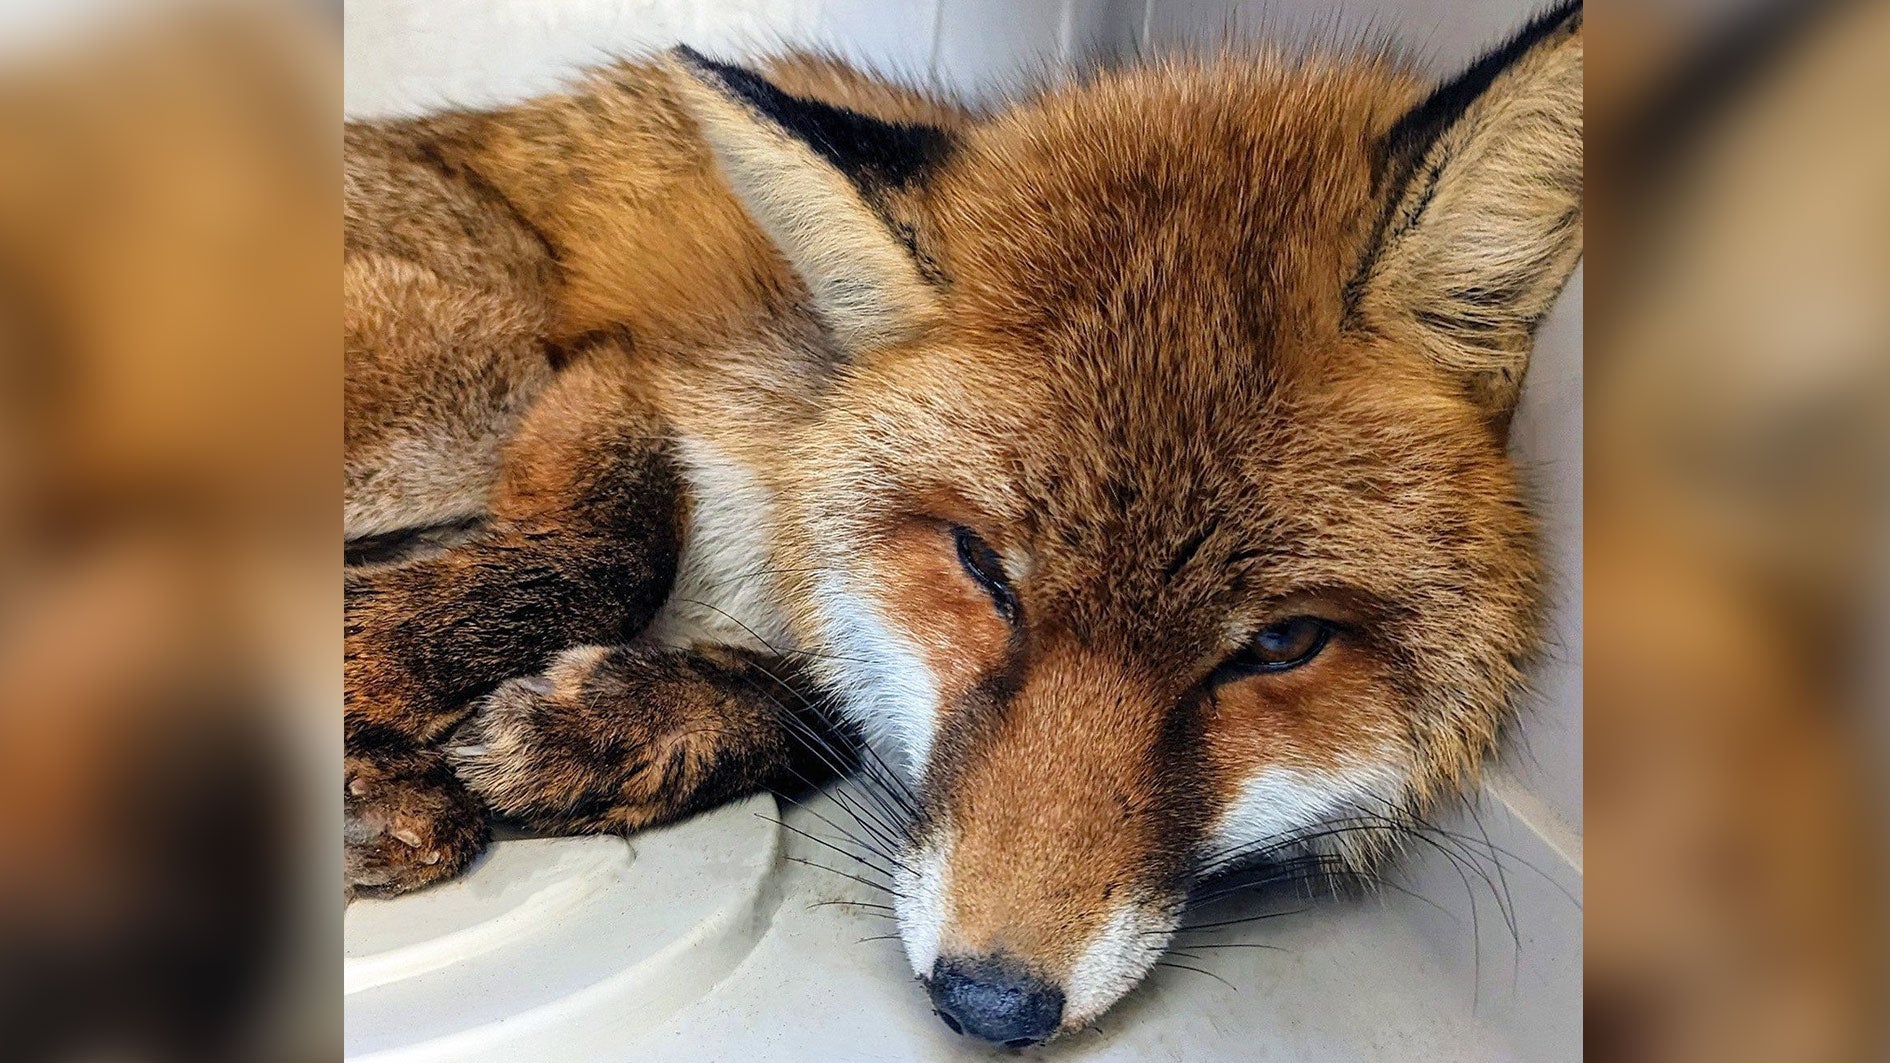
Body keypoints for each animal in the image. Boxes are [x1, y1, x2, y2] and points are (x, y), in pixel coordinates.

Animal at [343, 1, 1581, 1046]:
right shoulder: (626, 375)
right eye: (982, 566)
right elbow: (609, 551)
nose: (989, 1003)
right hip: (477, 373)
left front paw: (609, 731)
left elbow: (821, 713)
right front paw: (377, 668)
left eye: (1282, 645)